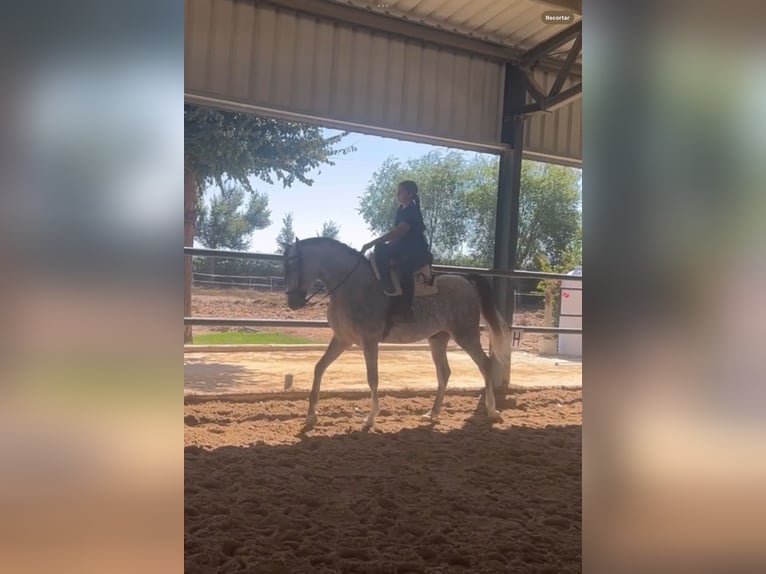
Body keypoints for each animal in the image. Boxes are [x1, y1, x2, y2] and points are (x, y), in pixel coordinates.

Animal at [284, 237, 512, 432]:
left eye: (293, 265)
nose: (292, 302)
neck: (352, 286)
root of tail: (466, 281)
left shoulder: (369, 341)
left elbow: (372, 378)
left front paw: (370, 418)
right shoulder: (342, 339)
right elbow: (319, 367)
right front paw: (311, 417)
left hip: (466, 335)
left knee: (485, 364)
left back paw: (492, 411)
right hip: (438, 338)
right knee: (444, 372)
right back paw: (432, 413)